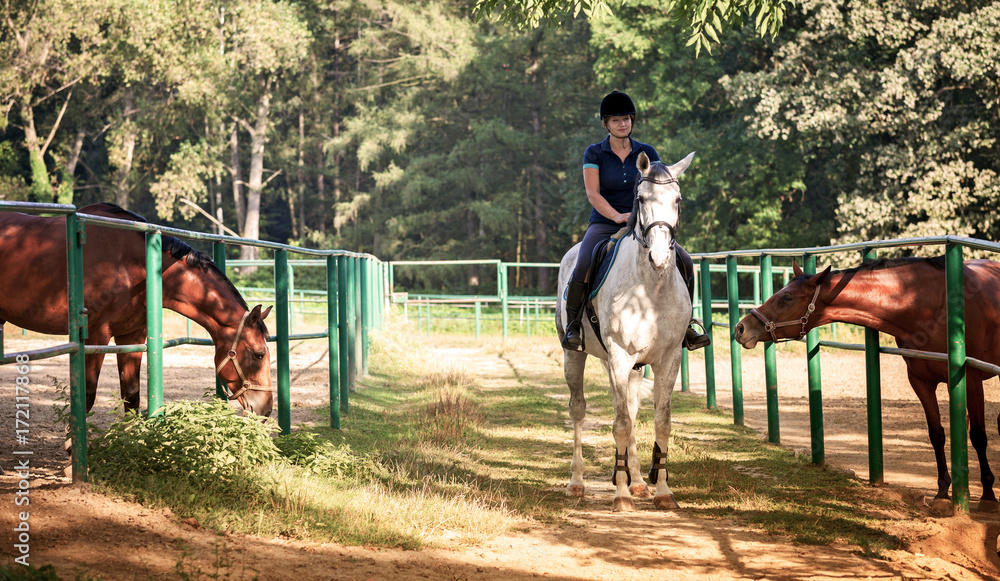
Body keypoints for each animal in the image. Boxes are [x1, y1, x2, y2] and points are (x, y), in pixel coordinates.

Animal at [0, 204, 274, 416]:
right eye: (259, 354)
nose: (267, 409)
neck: (133, 265)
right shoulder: (95, 336)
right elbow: (87, 396)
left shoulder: (131, 335)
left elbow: (131, 396)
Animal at [556, 151, 696, 512]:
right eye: (641, 198)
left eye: (677, 200)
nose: (659, 256)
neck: (650, 289)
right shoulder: (619, 355)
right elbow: (620, 424)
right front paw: (620, 495)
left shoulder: (667, 359)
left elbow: (660, 422)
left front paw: (661, 491)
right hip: (576, 357)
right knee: (579, 409)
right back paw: (577, 483)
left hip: (631, 367)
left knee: (631, 409)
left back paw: (638, 483)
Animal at [732, 258, 1000, 512]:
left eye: (786, 297)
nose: (740, 328)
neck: (926, 303)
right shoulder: (920, 381)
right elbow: (937, 434)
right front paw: (943, 493)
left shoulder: (971, 379)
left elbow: (979, 436)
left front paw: (988, 494)